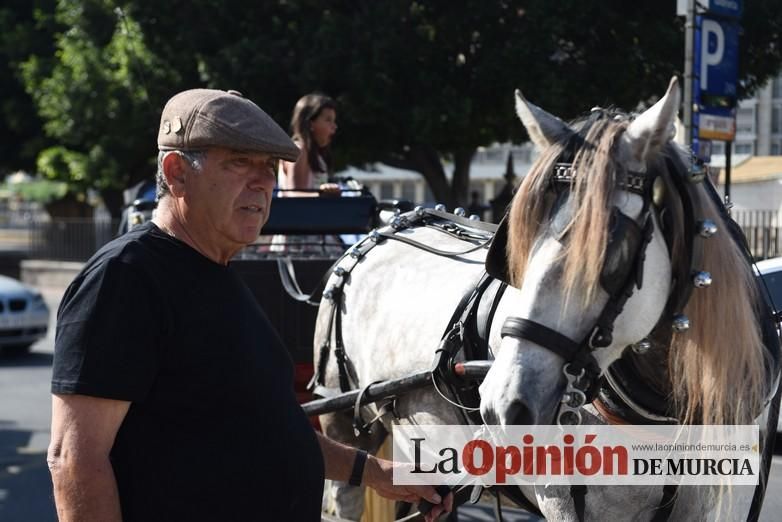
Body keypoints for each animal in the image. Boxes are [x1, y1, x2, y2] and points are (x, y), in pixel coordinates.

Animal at [316, 78, 780, 520]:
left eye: (612, 251)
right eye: (518, 246)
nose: (505, 405)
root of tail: (385, 228)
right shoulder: (565, 502)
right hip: (339, 413)